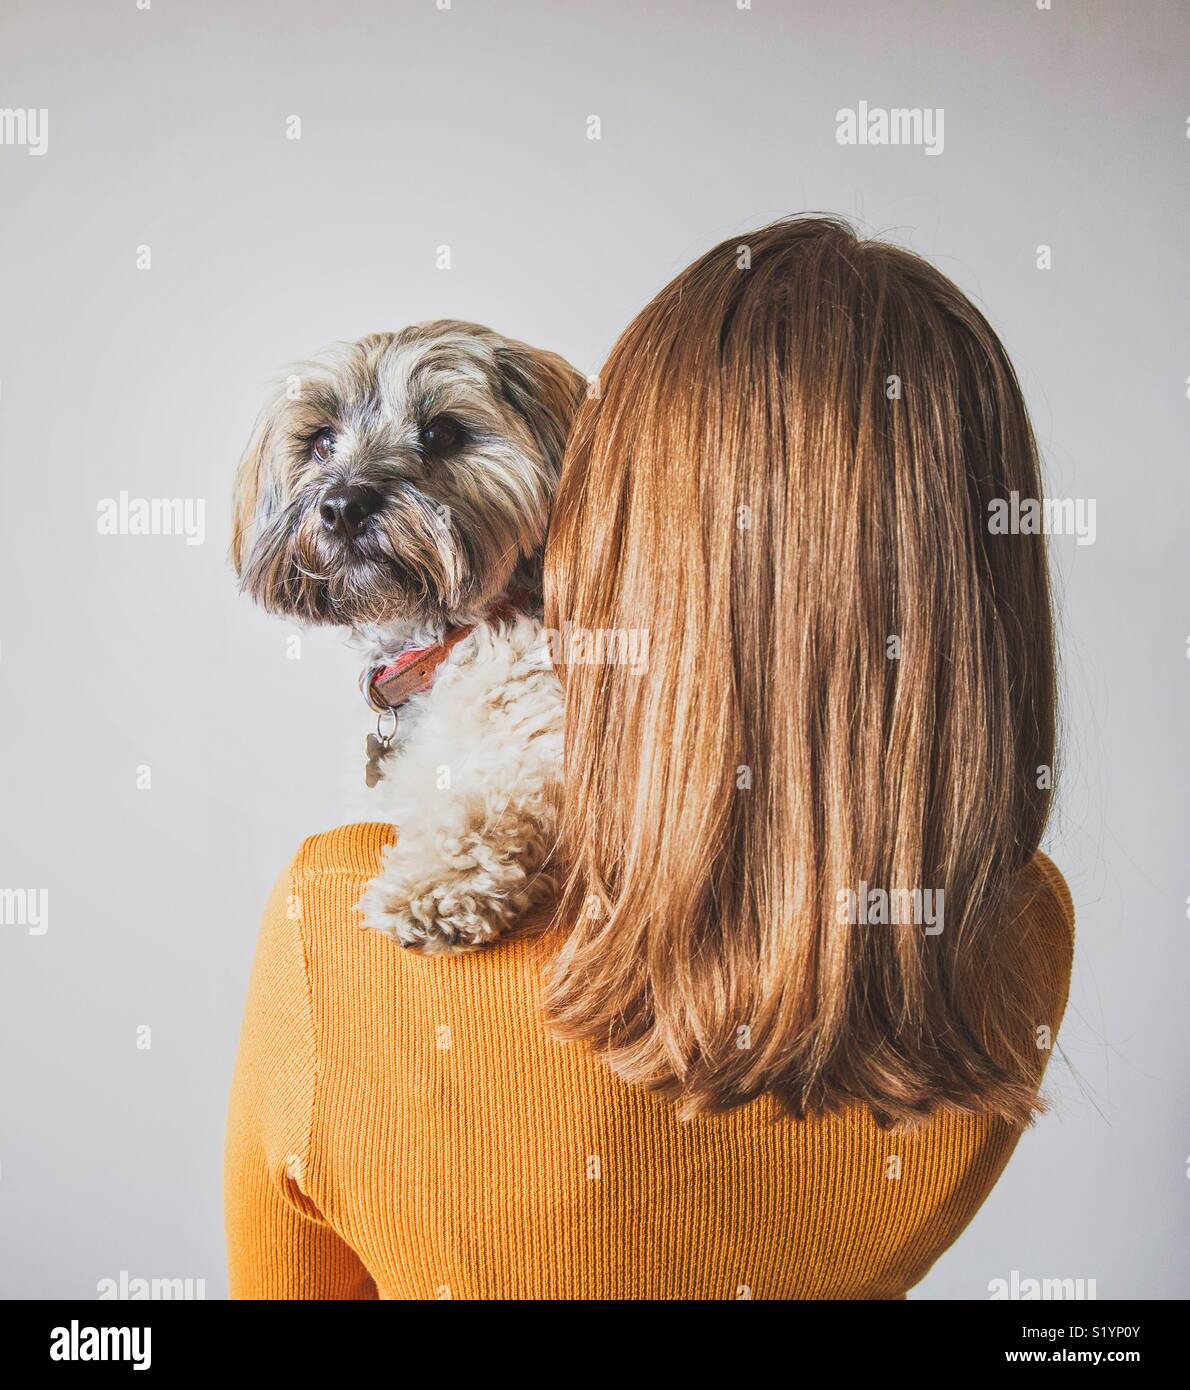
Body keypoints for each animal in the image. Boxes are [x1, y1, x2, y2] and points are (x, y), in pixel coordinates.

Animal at [230, 323, 583, 956]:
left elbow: (486, 803)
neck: (445, 645)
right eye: (322, 441)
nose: (344, 506)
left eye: (442, 432)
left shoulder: (549, 745)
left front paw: (436, 885)